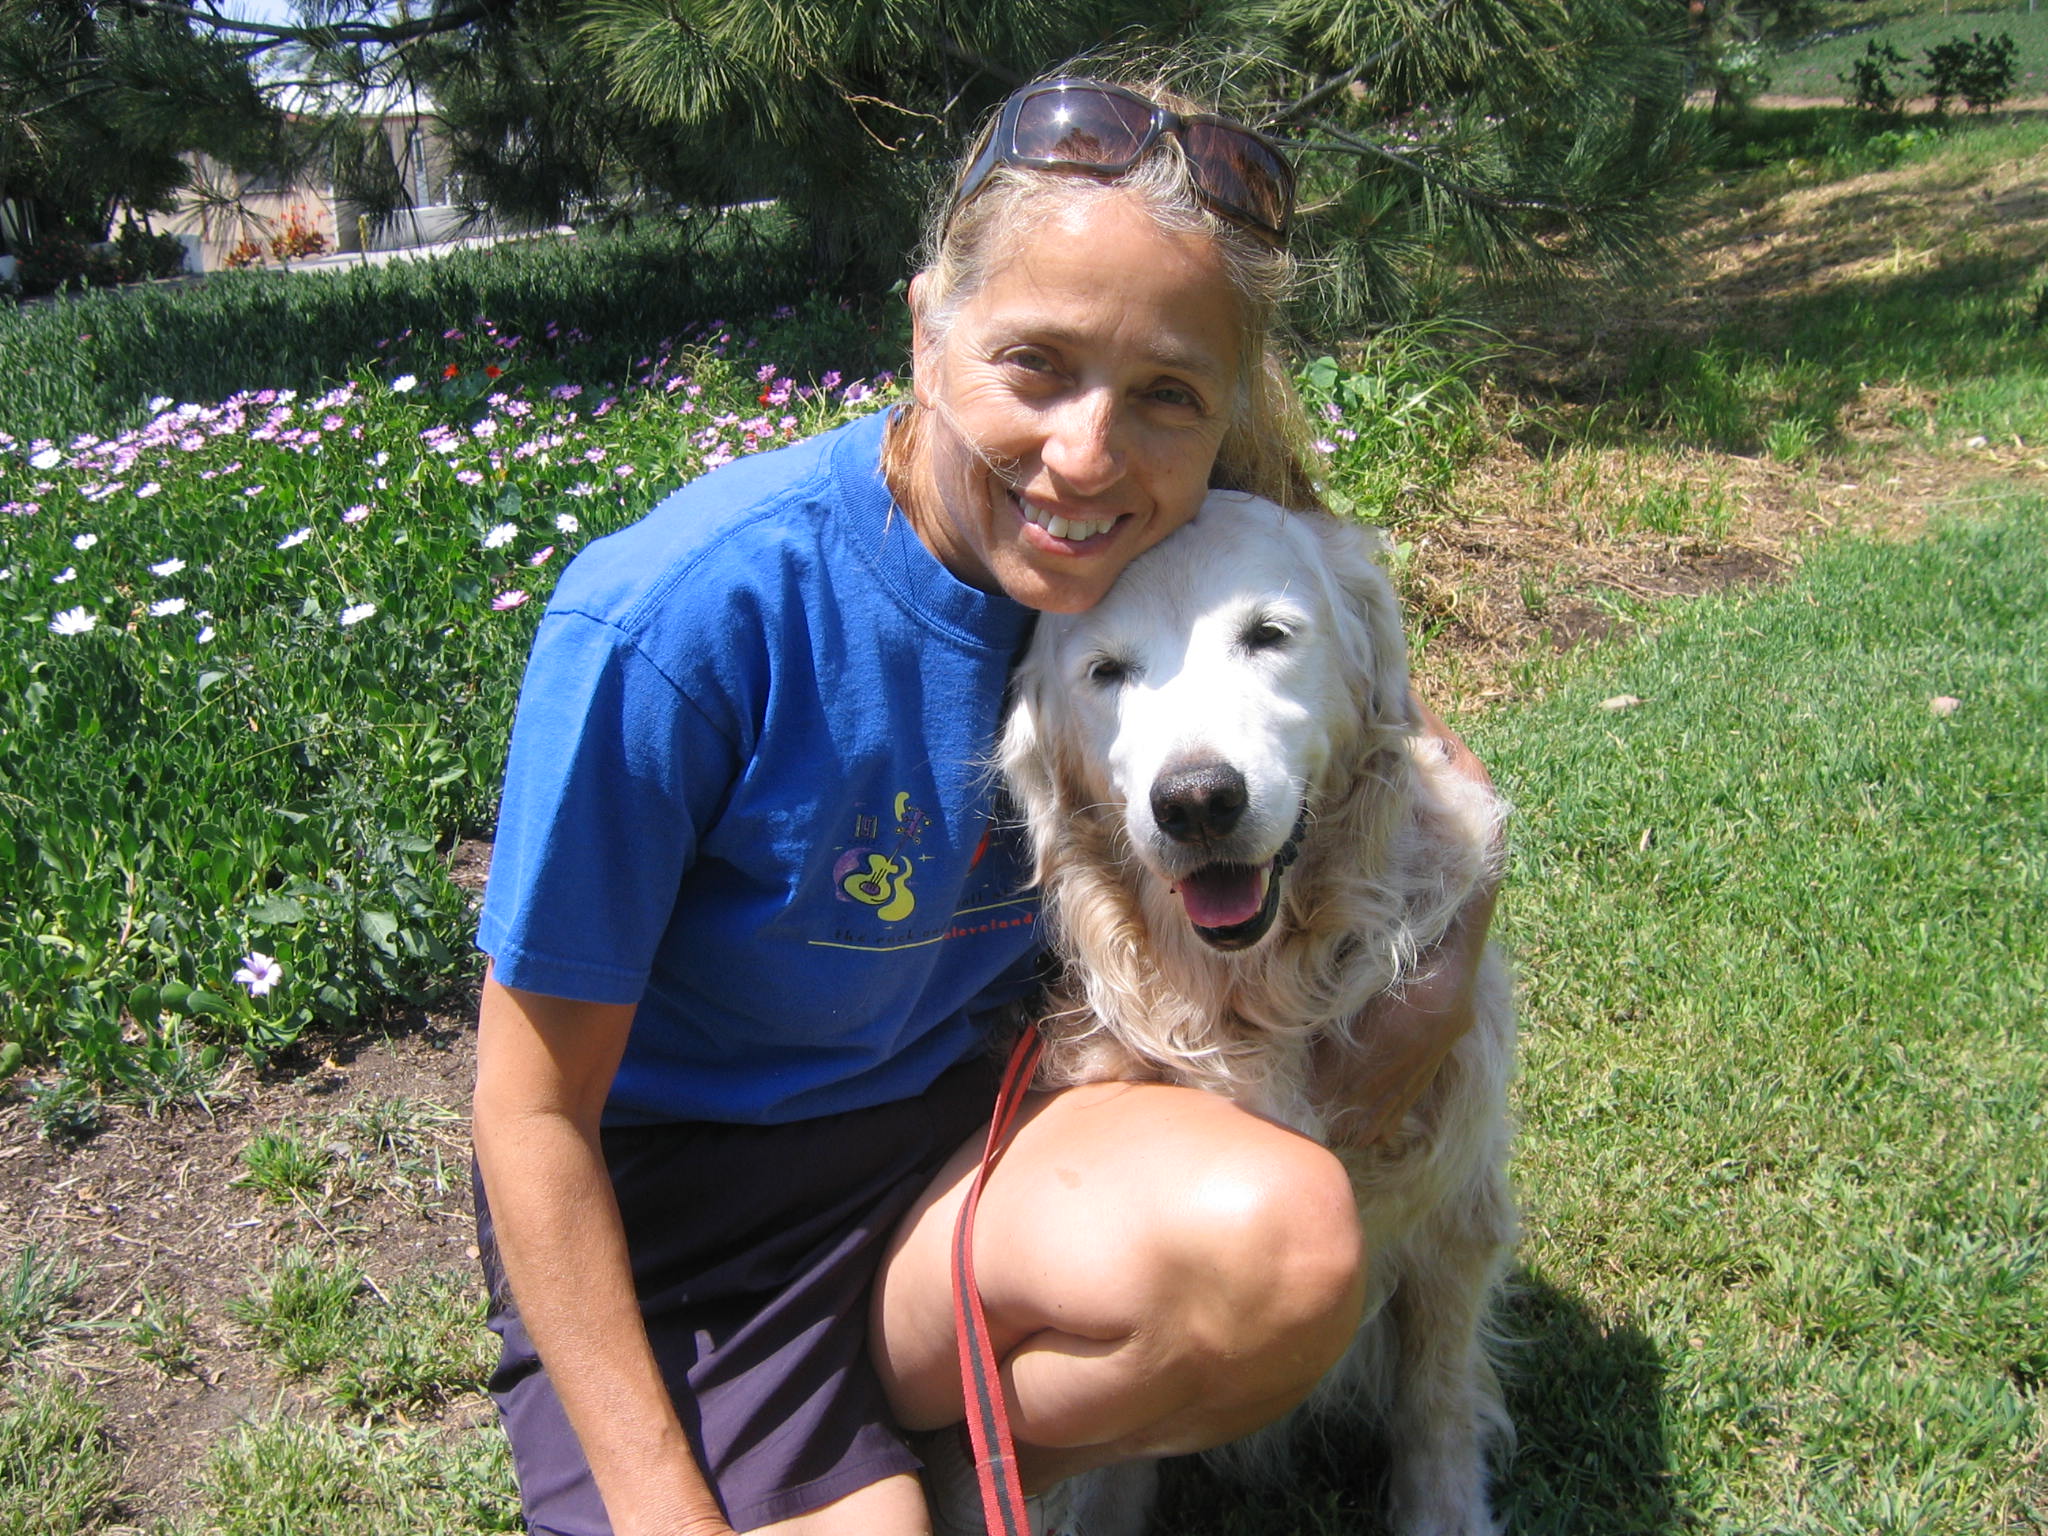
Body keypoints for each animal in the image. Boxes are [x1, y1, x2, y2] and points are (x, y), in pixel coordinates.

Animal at [999, 495, 1515, 1536]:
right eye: (1107, 672)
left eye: (1269, 635)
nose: (1197, 802)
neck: (1258, 999)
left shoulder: (1456, 1211)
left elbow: (1437, 1406)